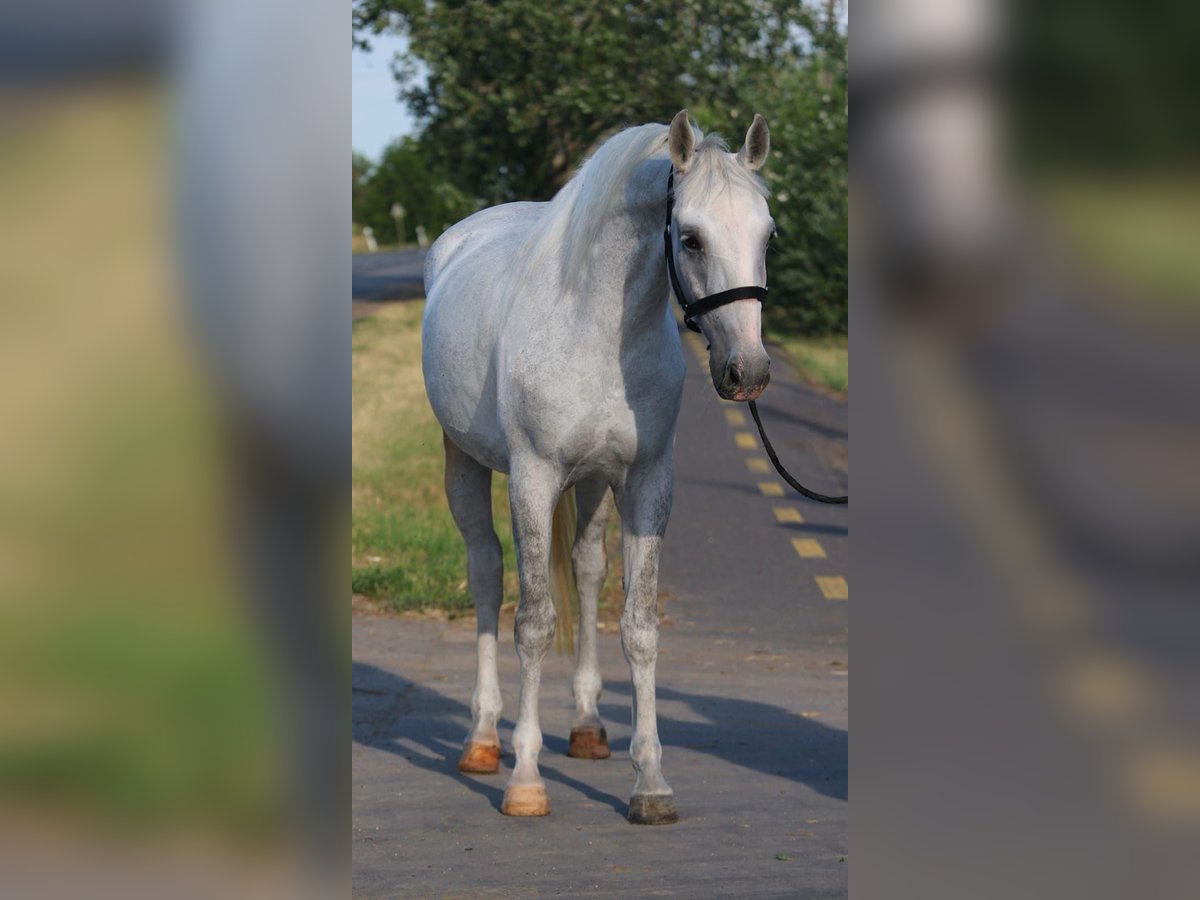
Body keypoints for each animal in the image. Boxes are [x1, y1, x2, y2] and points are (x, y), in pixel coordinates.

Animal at [421, 109, 775, 824]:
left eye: (768, 233)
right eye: (690, 238)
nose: (747, 371)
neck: (597, 331)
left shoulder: (647, 483)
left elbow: (638, 627)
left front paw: (651, 785)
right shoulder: (532, 479)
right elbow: (532, 623)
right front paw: (526, 781)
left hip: (592, 487)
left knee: (586, 571)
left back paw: (586, 726)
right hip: (465, 463)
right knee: (486, 570)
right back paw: (482, 739)